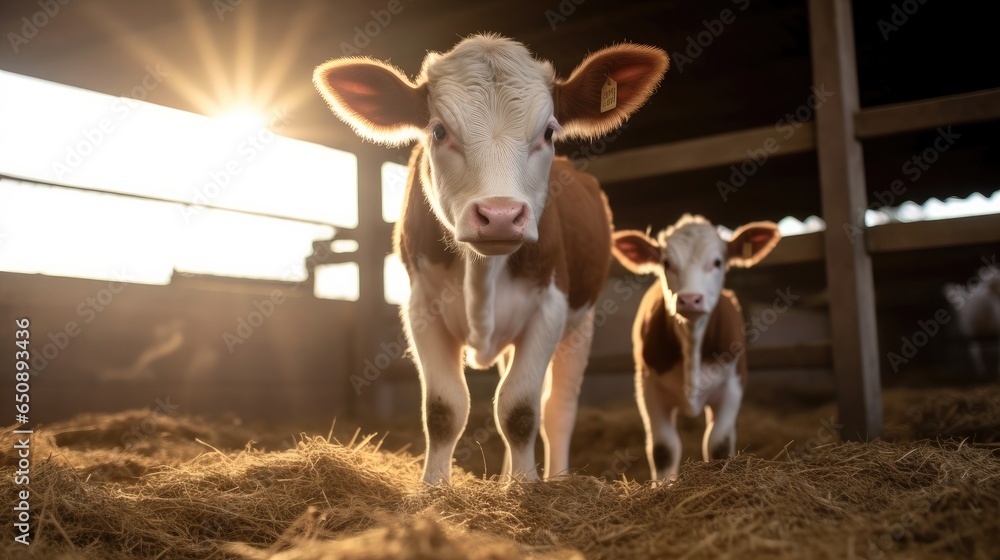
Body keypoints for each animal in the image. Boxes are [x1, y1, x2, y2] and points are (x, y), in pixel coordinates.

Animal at [316, 35, 668, 484]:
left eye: (548, 133)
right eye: (438, 130)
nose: (500, 215)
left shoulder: (550, 308)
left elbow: (521, 411)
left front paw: (526, 488)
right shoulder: (420, 309)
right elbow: (444, 409)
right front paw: (434, 489)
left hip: (581, 323)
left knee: (558, 408)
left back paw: (556, 479)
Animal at [608, 215, 780, 482]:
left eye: (717, 262)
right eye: (666, 262)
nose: (690, 299)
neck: (692, 341)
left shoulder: (733, 385)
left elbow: (719, 444)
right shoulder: (648, 388)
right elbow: (663, 449)